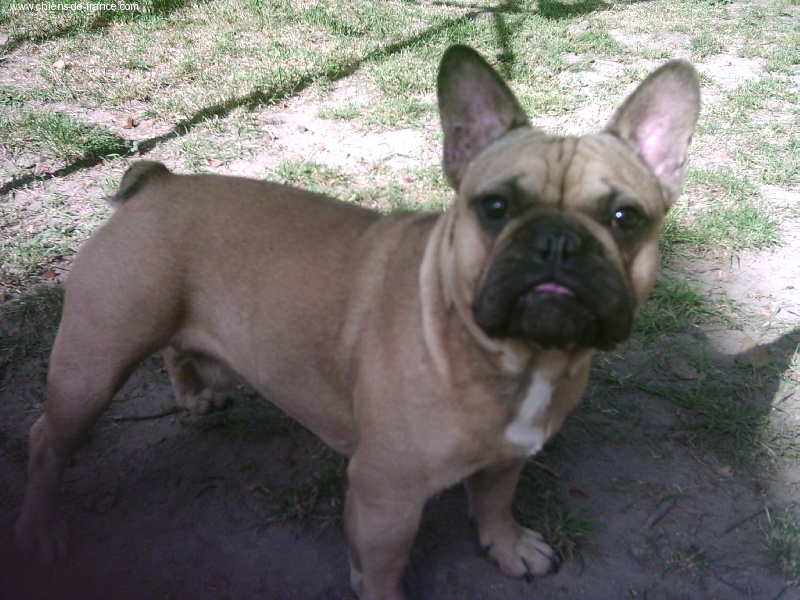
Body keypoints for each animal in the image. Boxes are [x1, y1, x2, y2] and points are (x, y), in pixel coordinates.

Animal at [15, 45, 699, 599]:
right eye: (496, 207)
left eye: (625, 219)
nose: (558, 243)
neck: (517, 358)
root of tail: (156, 183)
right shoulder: (384, 495)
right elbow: (385, 569)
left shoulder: (510, 457)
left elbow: (495, 502)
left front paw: (507, 547)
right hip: (93, 364)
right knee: (47, 439)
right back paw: (40, 531)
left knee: (174, 350)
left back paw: (195, 395)